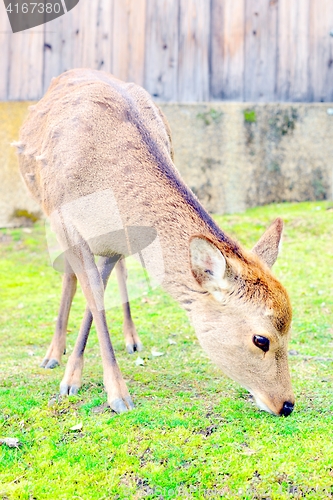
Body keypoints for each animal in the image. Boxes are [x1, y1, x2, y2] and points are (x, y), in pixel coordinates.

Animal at [13, 68, 294, 416]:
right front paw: (107, 392)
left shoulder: (115, 241)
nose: (287, 404)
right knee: (69, 276)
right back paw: (53, 353)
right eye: (261, 339)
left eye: (290, 328)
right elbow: (93, 295)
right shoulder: (67, 225)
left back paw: (131, 338)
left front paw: (82, 378)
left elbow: (97, 298)